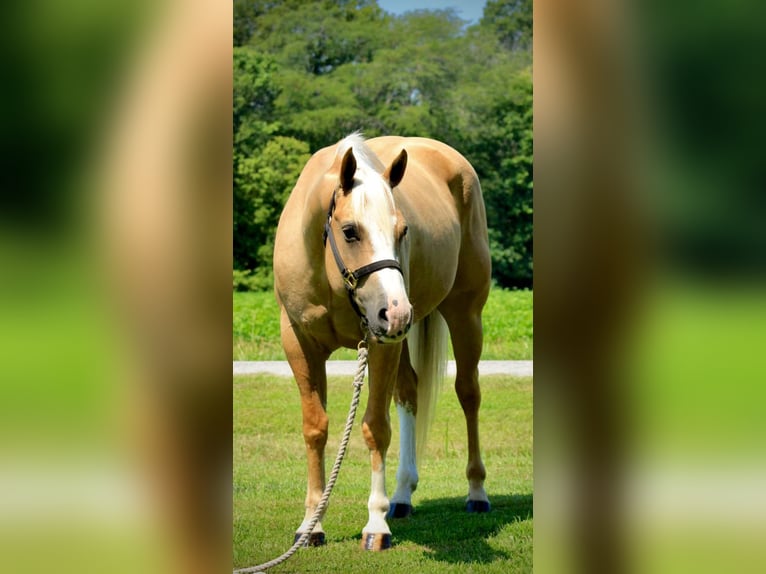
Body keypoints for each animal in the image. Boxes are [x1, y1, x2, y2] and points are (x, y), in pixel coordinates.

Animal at [274, 133, 492, 552]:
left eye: (403, 231)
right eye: (350, 231)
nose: (397, 312)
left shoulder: (380, 344)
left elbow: (375, 427)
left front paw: (375, 524)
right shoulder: (299, 343)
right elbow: (315, 428)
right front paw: (311, 525)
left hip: (464, 315)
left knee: (469, 394)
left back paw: (476, 493)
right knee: (409, 393)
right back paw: (402, 496)